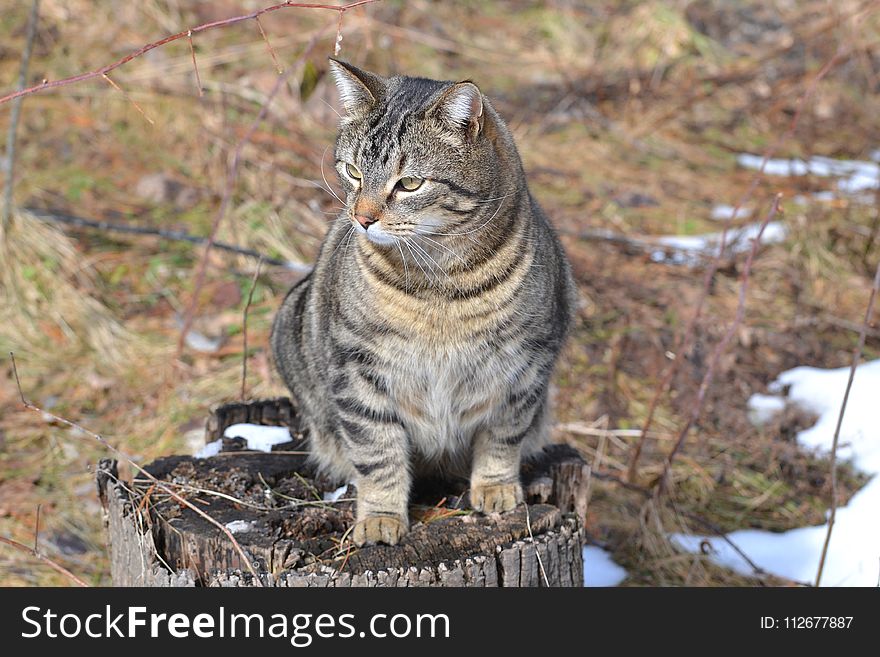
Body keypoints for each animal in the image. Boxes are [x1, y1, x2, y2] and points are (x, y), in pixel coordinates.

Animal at [276, 60, 576, 544]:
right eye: (354, 171)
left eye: (410, 183)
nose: (362, 217)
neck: (440, 284)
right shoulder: (357, 370)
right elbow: (377, 453)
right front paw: (380, 516)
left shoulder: (525, 367)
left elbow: (503, 436)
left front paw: (496, 489)